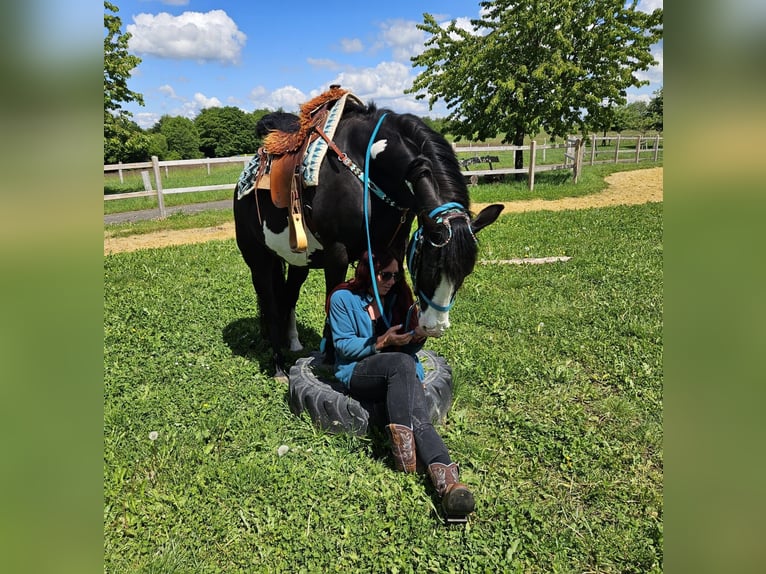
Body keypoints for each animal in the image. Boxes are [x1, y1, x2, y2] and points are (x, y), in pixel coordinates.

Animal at [234, 88, 503, 380]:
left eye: (466, 272)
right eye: (431, 266)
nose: (435, 327)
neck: (366, 165)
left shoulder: (393, 247)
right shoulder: (337, 253)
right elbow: (332, 297)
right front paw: (331, 356)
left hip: (299, 261)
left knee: (288, 296)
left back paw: (292, 342)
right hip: (258, 259)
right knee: (271, 305)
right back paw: (279, 366)